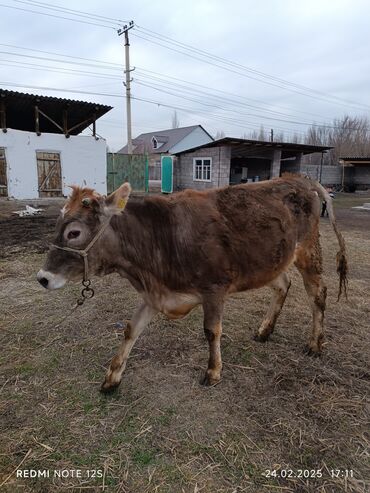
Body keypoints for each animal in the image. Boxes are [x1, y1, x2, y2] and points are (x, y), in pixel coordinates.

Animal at [36, 173, 346, 392]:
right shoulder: (154, 294)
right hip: (269, 262)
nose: (43, 278)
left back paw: (315, 344)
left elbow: (212, 331)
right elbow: (131, 330)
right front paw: (112, 377)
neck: (161, 239)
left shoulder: (214, 288)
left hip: (308, 250)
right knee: (283, 285)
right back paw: (264, 331)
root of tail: (300, 178)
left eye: (74, 233)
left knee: (318, 293)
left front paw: (213, 372)